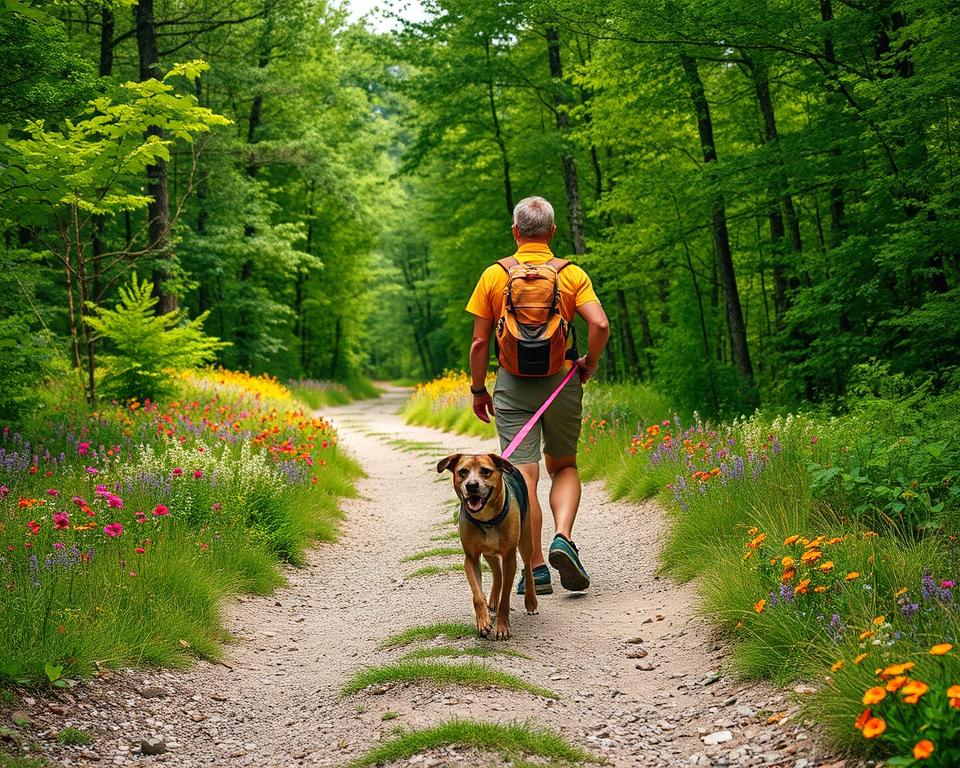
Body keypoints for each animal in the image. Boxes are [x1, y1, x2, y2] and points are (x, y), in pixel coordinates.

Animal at [436, 452, 540, 640]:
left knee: (528, 567)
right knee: (497, 573)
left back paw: (530, 601)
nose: (472, 485)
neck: (487, 520)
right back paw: (492, 601)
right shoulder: (471, 558)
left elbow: (505, 597)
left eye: (485, 471)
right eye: (462, 472)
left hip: (526, 539)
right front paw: (483, 622)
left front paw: (502, 627)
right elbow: (477, 595)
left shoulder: (509, 557)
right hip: (488, 553)